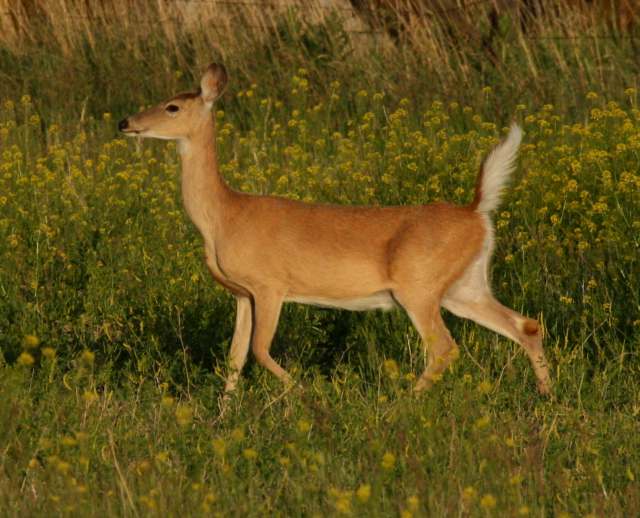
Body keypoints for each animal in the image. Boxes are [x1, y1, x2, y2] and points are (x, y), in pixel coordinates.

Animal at [118, 63, 551, 401]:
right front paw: (223, 414)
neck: (225, 216)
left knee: (445, 348)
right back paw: (546, 396)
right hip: (464, 285)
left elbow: (259, 350)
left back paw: (403, 404)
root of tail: (476, 210)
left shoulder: (270, 285)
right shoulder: (241, 293)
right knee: (526, 325)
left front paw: (306, 394)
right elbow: (235, 356)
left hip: (419, 286)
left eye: (172, 106)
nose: (125, 122)